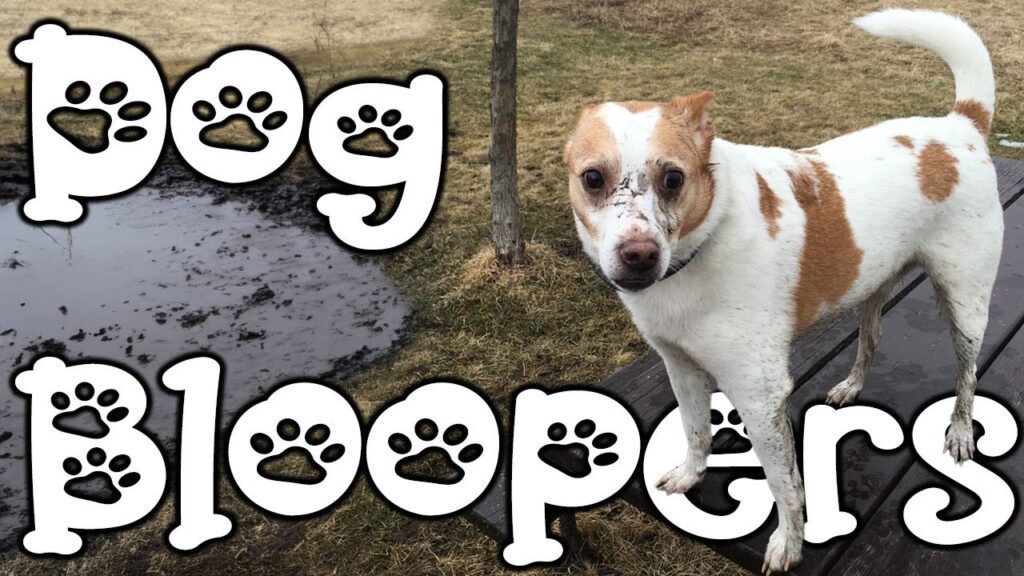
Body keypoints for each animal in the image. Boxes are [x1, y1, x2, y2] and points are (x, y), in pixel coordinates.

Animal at [561, 10, 999, 573]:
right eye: (593, 178)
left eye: (673, 179)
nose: (638, 255)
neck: (698, 252)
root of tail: (959, 124)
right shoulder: (681, 367)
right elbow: (696, 432)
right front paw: (690, 474)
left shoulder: (760, 391)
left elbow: (784, 482)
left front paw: (790, 543)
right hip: (872, 284)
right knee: (871, 339)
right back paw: (851, 387)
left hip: (965, 304)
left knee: (967, 376)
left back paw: (961, 430)